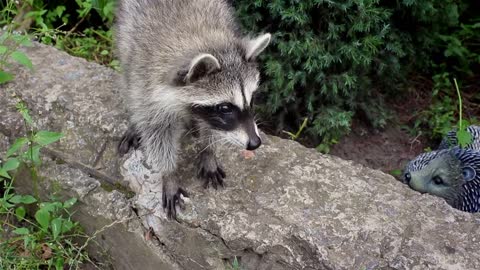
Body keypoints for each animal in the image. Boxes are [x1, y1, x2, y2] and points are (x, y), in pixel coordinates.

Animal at [113, 0, 270, 218]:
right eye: (225, 108)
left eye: (252, 99)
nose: (255, 143)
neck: (202, 37)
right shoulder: (147, 82)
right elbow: (157, 132)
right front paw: (169, 173)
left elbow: (211, 127)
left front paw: (209, 151)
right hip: (127, 36)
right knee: (129, 81)